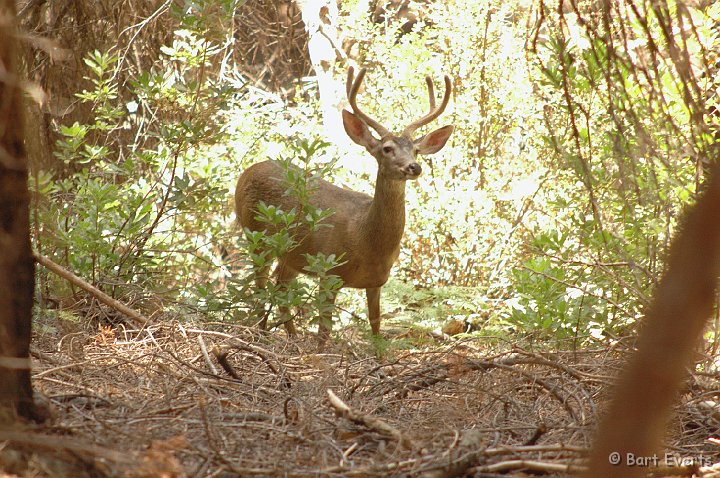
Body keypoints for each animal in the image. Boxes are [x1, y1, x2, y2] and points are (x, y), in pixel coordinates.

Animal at [233, 66, 452, 336]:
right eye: (387, 149)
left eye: (416, 150)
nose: (414, 167)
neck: (365, 239)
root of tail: (247, 171)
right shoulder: (329, 271)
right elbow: (323, 332)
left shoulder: (376, 282)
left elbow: (376, 327)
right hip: (254, 234)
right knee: (261, 285)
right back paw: (262, 331)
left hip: (291, 255)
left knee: (280, 288)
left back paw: (291, 335)